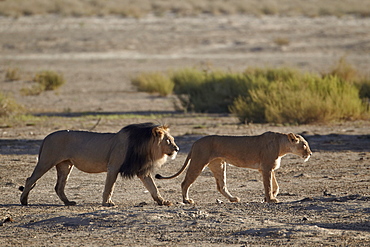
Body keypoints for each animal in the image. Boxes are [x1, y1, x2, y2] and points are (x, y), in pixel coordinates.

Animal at [20, 123, 179, 206]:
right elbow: (109, 187)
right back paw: (24, 200)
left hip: (65, 165)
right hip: (46, 161)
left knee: (59, 186)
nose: (177, 149)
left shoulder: (142, 171)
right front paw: (107, 203)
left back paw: (68, 202)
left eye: (172, 139)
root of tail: (46, 137)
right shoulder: (113, 167)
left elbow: (153, 187)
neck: (146, 147)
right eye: (168, 141)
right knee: (30, 180)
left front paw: (163, 201)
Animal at [156, 132, 312, 204]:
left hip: (219, 164)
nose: (310, 153)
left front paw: (270, 197)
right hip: (199, 162)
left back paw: (233, 199)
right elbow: (268, 185)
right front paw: (270, 199)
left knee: (221, 186)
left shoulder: (268, 168)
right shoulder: (267, 167)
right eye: (304, 145)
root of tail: (195, 142)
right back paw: (187, 200)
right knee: (185, 182)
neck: (282, 147)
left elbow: (276, 185)